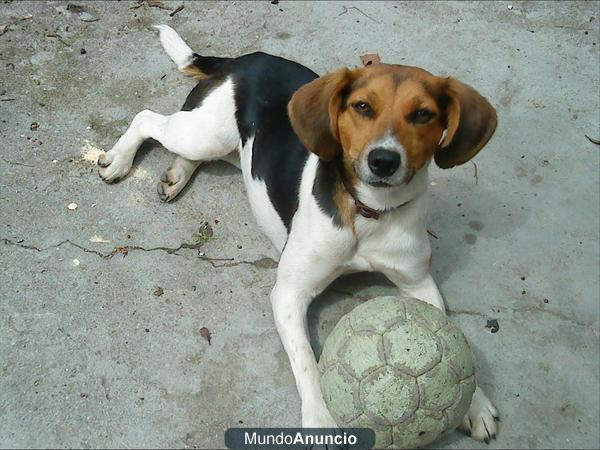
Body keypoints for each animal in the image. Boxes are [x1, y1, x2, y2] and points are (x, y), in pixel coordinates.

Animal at [98, 25, 500, 442]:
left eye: (423, 114)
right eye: (362, 107)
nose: (383, 161)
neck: (368, 210)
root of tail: (244, 59)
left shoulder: (418, 282)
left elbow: (448, 333)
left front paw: (475, 401)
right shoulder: (289, 294)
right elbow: (307, 361)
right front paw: (321, 420)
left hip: (226, 146)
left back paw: (177, 173)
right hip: (204, 132)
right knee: (148, 119)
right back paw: (121, 159)